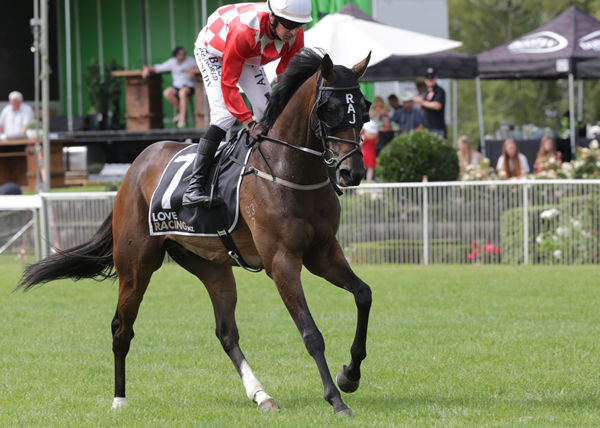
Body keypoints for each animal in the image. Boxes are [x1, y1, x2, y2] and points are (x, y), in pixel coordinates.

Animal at [18, 48, 372, 416]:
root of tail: (134, 167)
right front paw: (336, 399)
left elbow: (364, 295)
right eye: (329, 109)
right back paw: (119, 399)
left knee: (226, 332)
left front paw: (350, 375)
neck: (288, 170)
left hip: (210, 265)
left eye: (363, 107)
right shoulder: (282, 261)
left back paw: (261, 395)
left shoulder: (323, 252)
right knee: (121, 328)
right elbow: (311, 333)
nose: (352, 172)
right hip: (136, 264)